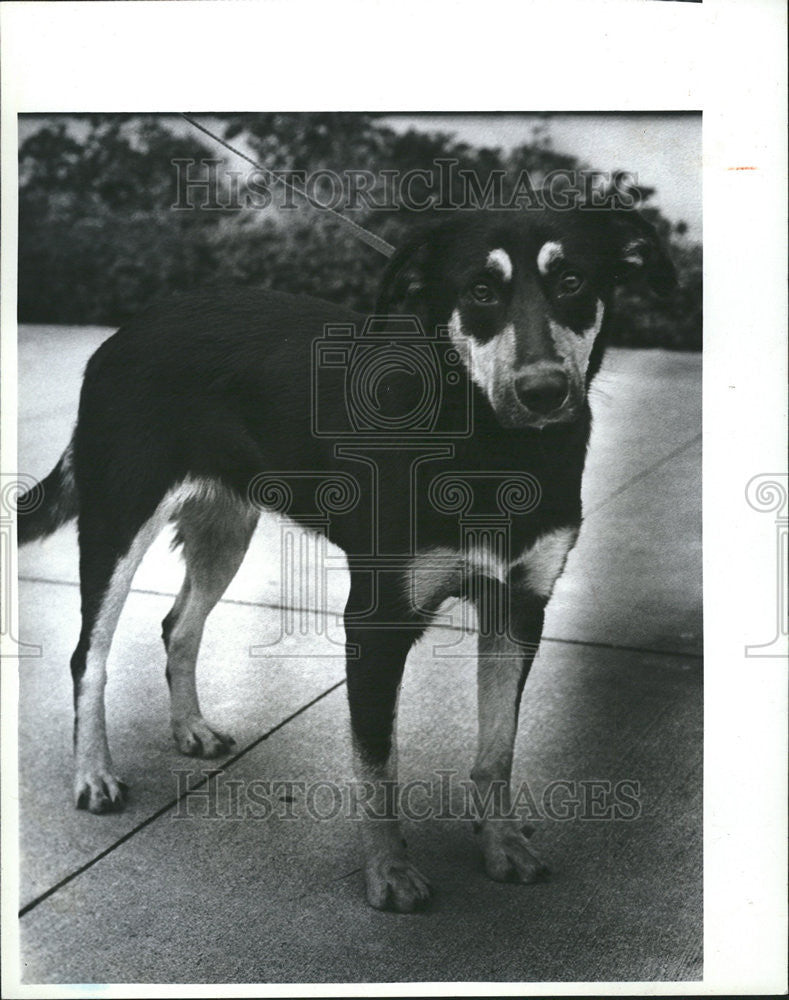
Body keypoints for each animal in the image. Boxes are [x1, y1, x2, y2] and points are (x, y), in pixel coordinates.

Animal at [16, 209, 672, 916]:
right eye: (480, 291)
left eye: (572, 280)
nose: (544, 391)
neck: (491, 444)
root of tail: (124, 333)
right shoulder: (376, 621)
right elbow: (378, 762)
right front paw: (389, 873)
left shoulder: (519, 609)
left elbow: (497, 750)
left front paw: (502, 847)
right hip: (118, 521)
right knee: (89, 655)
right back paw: (93, 774)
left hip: (226, 526)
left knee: (179, 627)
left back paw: (189, 727)